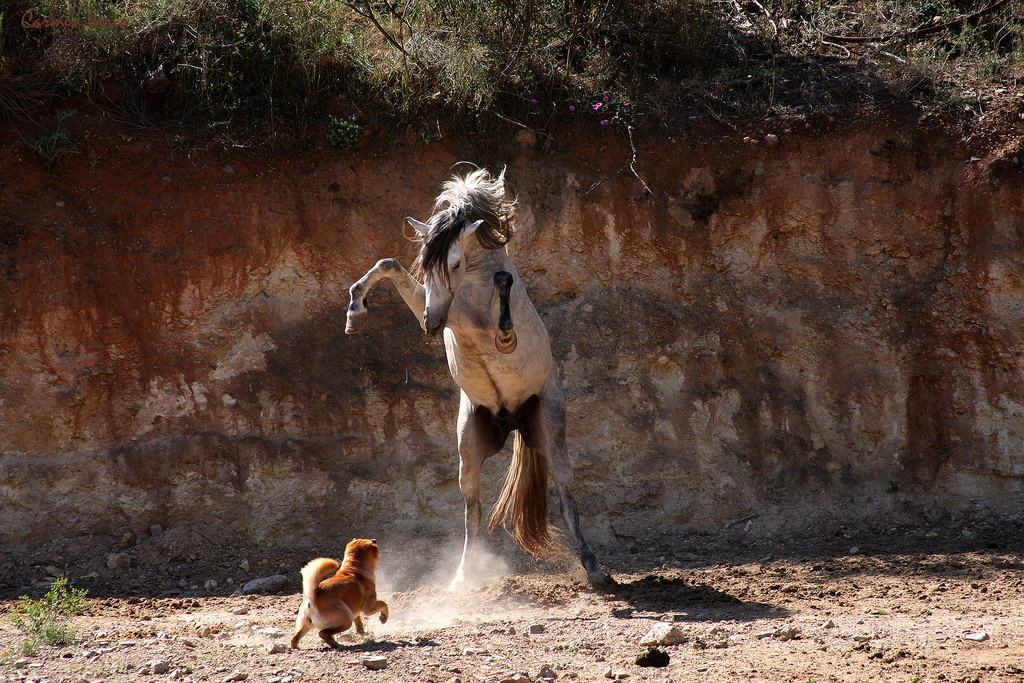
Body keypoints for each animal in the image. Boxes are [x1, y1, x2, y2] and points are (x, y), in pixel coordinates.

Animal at [348, 166, 606, 589]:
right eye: (426, 263)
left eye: (454, 264)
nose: (430, 325)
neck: (471, 282)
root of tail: (513, 421)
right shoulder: (443, 311)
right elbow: (389, 265)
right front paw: (355, 311)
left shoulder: (470, 315)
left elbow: (502, 300)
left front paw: (504, 330)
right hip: (469, 449)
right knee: (473, 513)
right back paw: (462, 576)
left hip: (552, 436)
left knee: (568, 500)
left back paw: (593, 567)